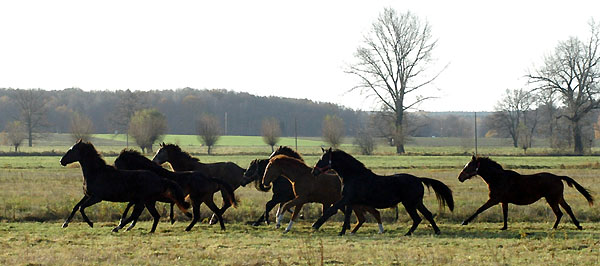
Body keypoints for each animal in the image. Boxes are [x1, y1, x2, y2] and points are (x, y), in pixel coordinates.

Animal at [58, 139, 190, 233]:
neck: (96, 172)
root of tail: (160, 179)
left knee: (137, 214)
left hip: (143, 201)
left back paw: (118, 228)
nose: (61, 161)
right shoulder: (88, 195)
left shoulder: (96, 198)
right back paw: (147, 231)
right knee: (154, 215)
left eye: (72, 150)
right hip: (148, 201)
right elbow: (76, 206)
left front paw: (90, 224)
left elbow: (81, 208)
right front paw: (65, 223)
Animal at [312, 149, 452, 236]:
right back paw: (436, 231)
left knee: (417, 218)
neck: (354, 176)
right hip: (417, 203)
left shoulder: (346, 199)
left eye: (323, 159)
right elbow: (347, 216)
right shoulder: (350, 201)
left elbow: (332, 209)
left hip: (409, 203)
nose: (314, 172)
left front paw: (315, 225)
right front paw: (342, 232)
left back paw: (408, 233)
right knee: (427, 215)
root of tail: (418, 179)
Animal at [458, 156, 592, 229]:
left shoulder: (494, 199)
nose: (460, 177)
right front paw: (504, 227)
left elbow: (479, 209)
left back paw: (553, 227)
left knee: (559, 213)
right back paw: (578, 225)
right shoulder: (503, 201)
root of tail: (558, 177)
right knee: (567, 209)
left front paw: (465, 221)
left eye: (469, 166)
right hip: (558, 198)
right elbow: (505, 213)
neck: (498, 178)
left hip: (552, 199)